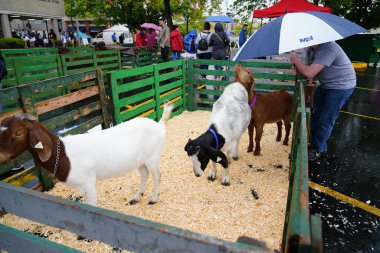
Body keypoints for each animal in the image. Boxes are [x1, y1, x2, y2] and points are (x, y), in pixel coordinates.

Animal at [0, 104, 173, 205]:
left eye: (19, 132)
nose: (1, 156)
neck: (64, 155)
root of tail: (159, 125)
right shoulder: (82, 186)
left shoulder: (89, 182)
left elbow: (91, 205)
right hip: (140, 161)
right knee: (144, 174)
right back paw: (136, 198)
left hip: (152, 158)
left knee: (157, 175)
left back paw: (153, 199)